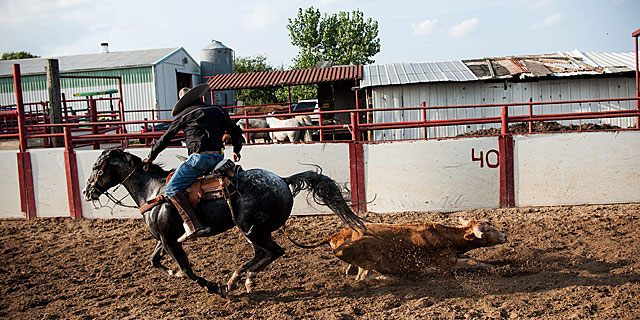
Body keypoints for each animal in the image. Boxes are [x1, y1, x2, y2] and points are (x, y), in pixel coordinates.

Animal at [284, 218, 504, 280]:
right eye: (487, 229)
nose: (505, 236)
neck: (446, 236)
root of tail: (334, 235)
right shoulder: (447, 264)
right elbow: (474, 262)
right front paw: (493, 268)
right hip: (370, 258)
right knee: (362, 278)